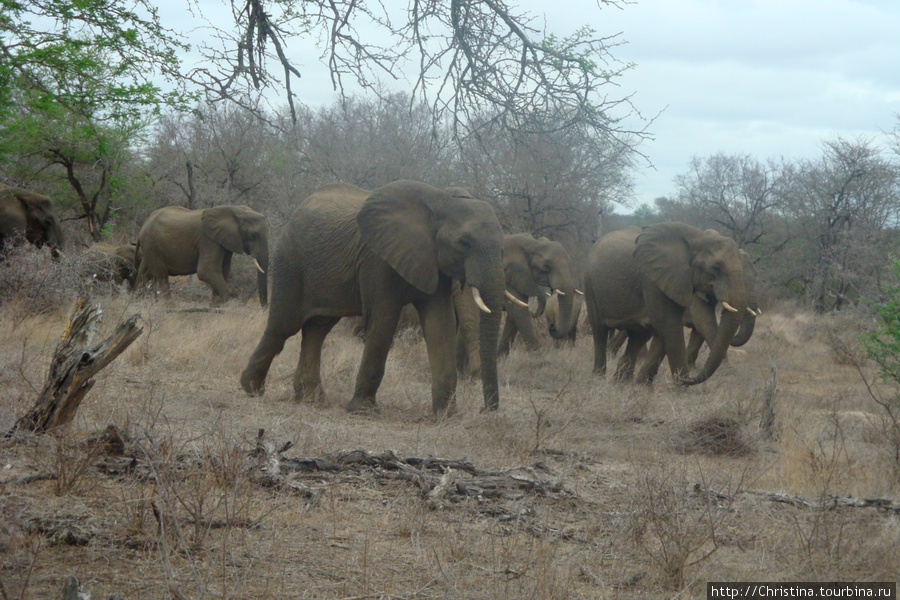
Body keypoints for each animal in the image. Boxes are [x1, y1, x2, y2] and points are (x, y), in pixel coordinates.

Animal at [134, 204, 268, 304]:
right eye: (252, 236)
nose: (264, 308)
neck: (234, 210)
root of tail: (145, 222)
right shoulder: (208, 239)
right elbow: (206, 271)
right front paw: (230, 302)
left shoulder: (225, 241)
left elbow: (222, 271)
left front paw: (215, 307)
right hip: (151, 244)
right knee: (162, 277)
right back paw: (169, 307)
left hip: (149, 247)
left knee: (145, 273)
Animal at [239, 180, 510, 414]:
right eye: (464, 242)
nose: (486, 410)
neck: (441, 200)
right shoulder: (377, 260)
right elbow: (384, 321)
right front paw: (363, 410)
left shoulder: (435, 266)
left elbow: (439, 324)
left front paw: (446, 415)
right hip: (291, 262)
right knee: (284, 326)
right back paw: (252, 389)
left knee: (317, 330)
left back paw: (312, 399)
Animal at [584, 224, 744, 384]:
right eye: (716, 268)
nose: (689, 378)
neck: (698, 237)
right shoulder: (653, 280)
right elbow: (669, 326)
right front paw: (680, 387)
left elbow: (666, 328)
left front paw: (643, 386)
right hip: (590, 285)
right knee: (600, 331)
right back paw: (599, 377)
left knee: (639, 336)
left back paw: (622, 382)